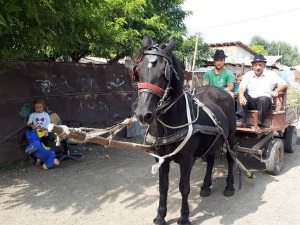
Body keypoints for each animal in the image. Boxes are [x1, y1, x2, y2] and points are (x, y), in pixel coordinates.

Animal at [134, 35, 237, 225]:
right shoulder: (161, 158)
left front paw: (184, 217)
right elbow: (163, 187)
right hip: (212, 138)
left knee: (230, 158)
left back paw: (229, 186)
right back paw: (205, 186)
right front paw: (160, 216)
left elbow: (184, 187)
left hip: (231, 137)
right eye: (137, 71)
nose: (143, 114)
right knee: (210, 158)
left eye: (164, 72)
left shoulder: (187, 159)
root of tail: (221, 91)